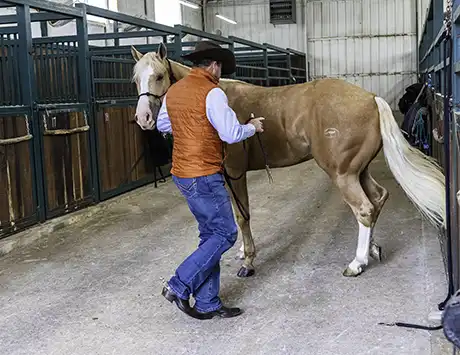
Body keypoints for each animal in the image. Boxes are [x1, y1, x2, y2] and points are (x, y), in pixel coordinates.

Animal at [131, 43, 448, 280]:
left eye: (159, 76)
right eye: (136, 79)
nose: (143, 119)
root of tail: (371, 98)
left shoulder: (235, 173)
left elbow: (242, 216)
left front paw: (248, 261)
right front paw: (242, 252)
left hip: (343, 174)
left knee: (364, 209)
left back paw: (357, 263)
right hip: (358, 169)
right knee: (378, 198)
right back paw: (372, 250)